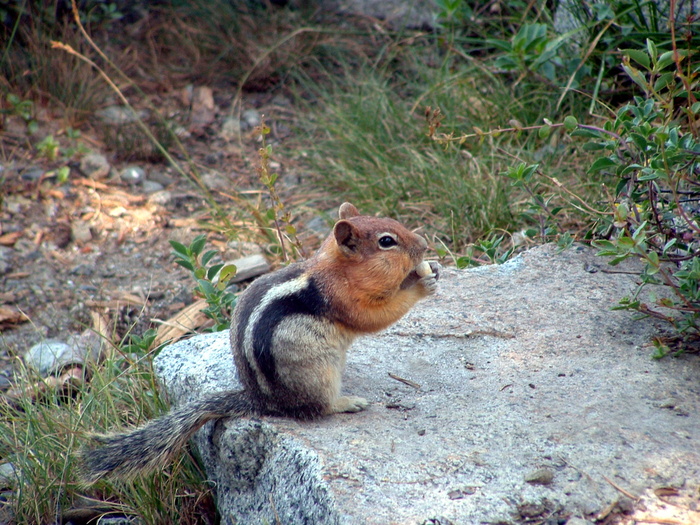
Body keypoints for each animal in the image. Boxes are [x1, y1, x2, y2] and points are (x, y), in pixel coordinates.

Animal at [83, 203, 438, 482]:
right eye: (387, 241)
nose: (424, 244)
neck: (336, 269)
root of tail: (263, 402)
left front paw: (431, 269)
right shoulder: (345, 299)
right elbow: (375, 317)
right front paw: (422, 284)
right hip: (318, 374)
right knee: (317, 408)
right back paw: (348, 402)